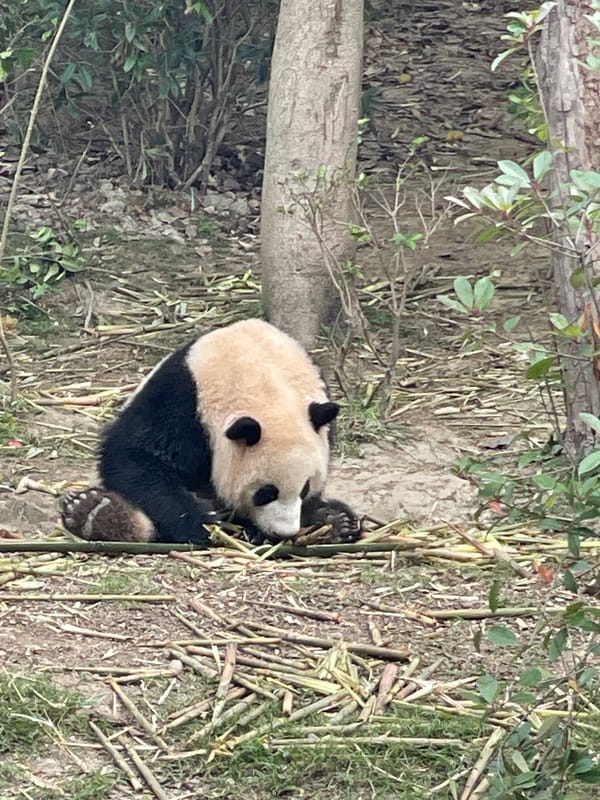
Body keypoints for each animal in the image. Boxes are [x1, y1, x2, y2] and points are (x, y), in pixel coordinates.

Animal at [60, 319, 360, 546]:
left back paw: (337, 522)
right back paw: (96, 512)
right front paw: (204, 522)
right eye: (266, 493)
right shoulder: (182, 401)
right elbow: (136, 457)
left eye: (304, 487)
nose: (283, 532)